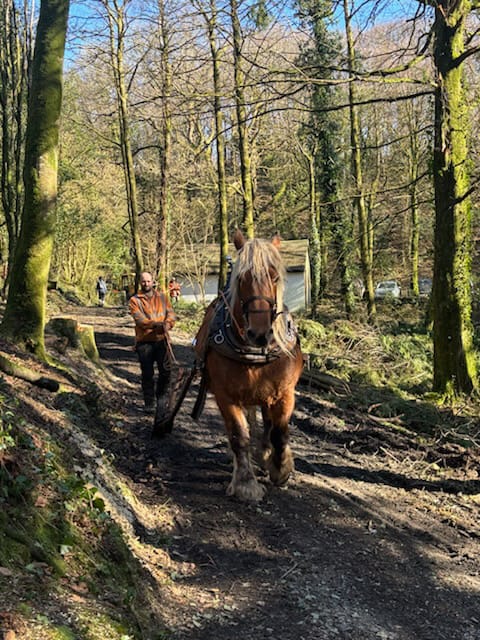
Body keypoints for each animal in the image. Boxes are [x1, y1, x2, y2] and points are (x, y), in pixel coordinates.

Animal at [194, 229, 304, 502]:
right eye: (242, 278)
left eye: (275, 277)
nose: (259, 333)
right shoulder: (225, 395)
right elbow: (238, 435)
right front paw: (245, 483)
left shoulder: (285, 392)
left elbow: (279, 432)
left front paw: (280, 468)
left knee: (268, 423)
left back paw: (265, 454)